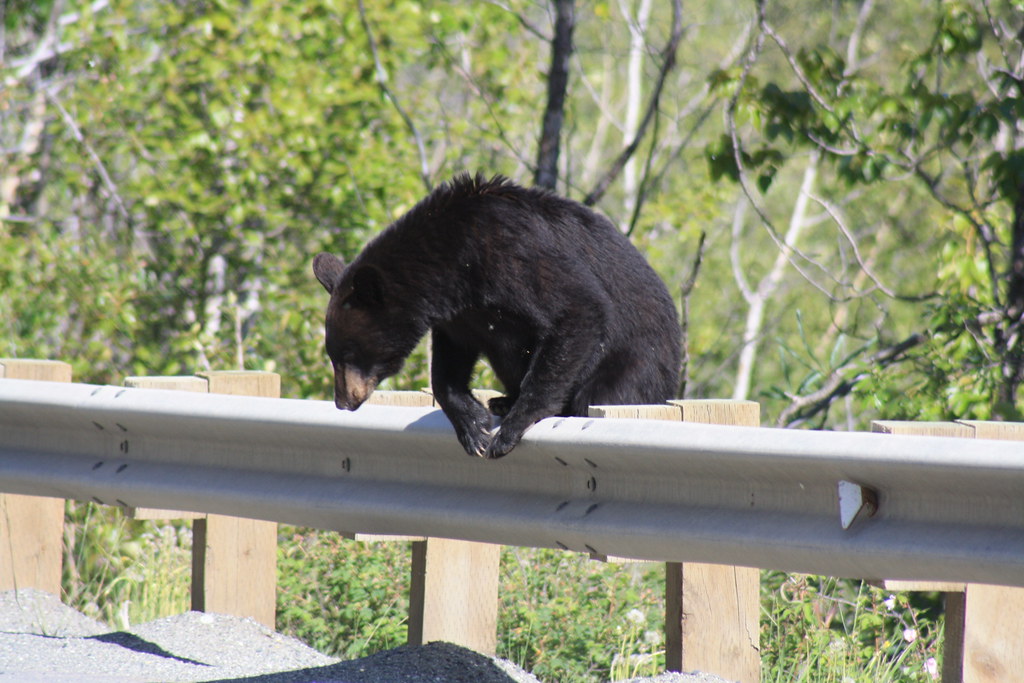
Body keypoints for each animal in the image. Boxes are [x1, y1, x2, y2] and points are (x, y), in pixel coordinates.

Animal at [313, 173, 680, 459]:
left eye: (348, 353)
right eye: (333, 354)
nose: (343, 402)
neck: (454, 263)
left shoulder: (513, 253)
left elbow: (579, 308)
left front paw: (510, 430)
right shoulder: (459, 315)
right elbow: (449, 362)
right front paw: (472, 426)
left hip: (636, 363)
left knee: (606, 391)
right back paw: (502, 401)